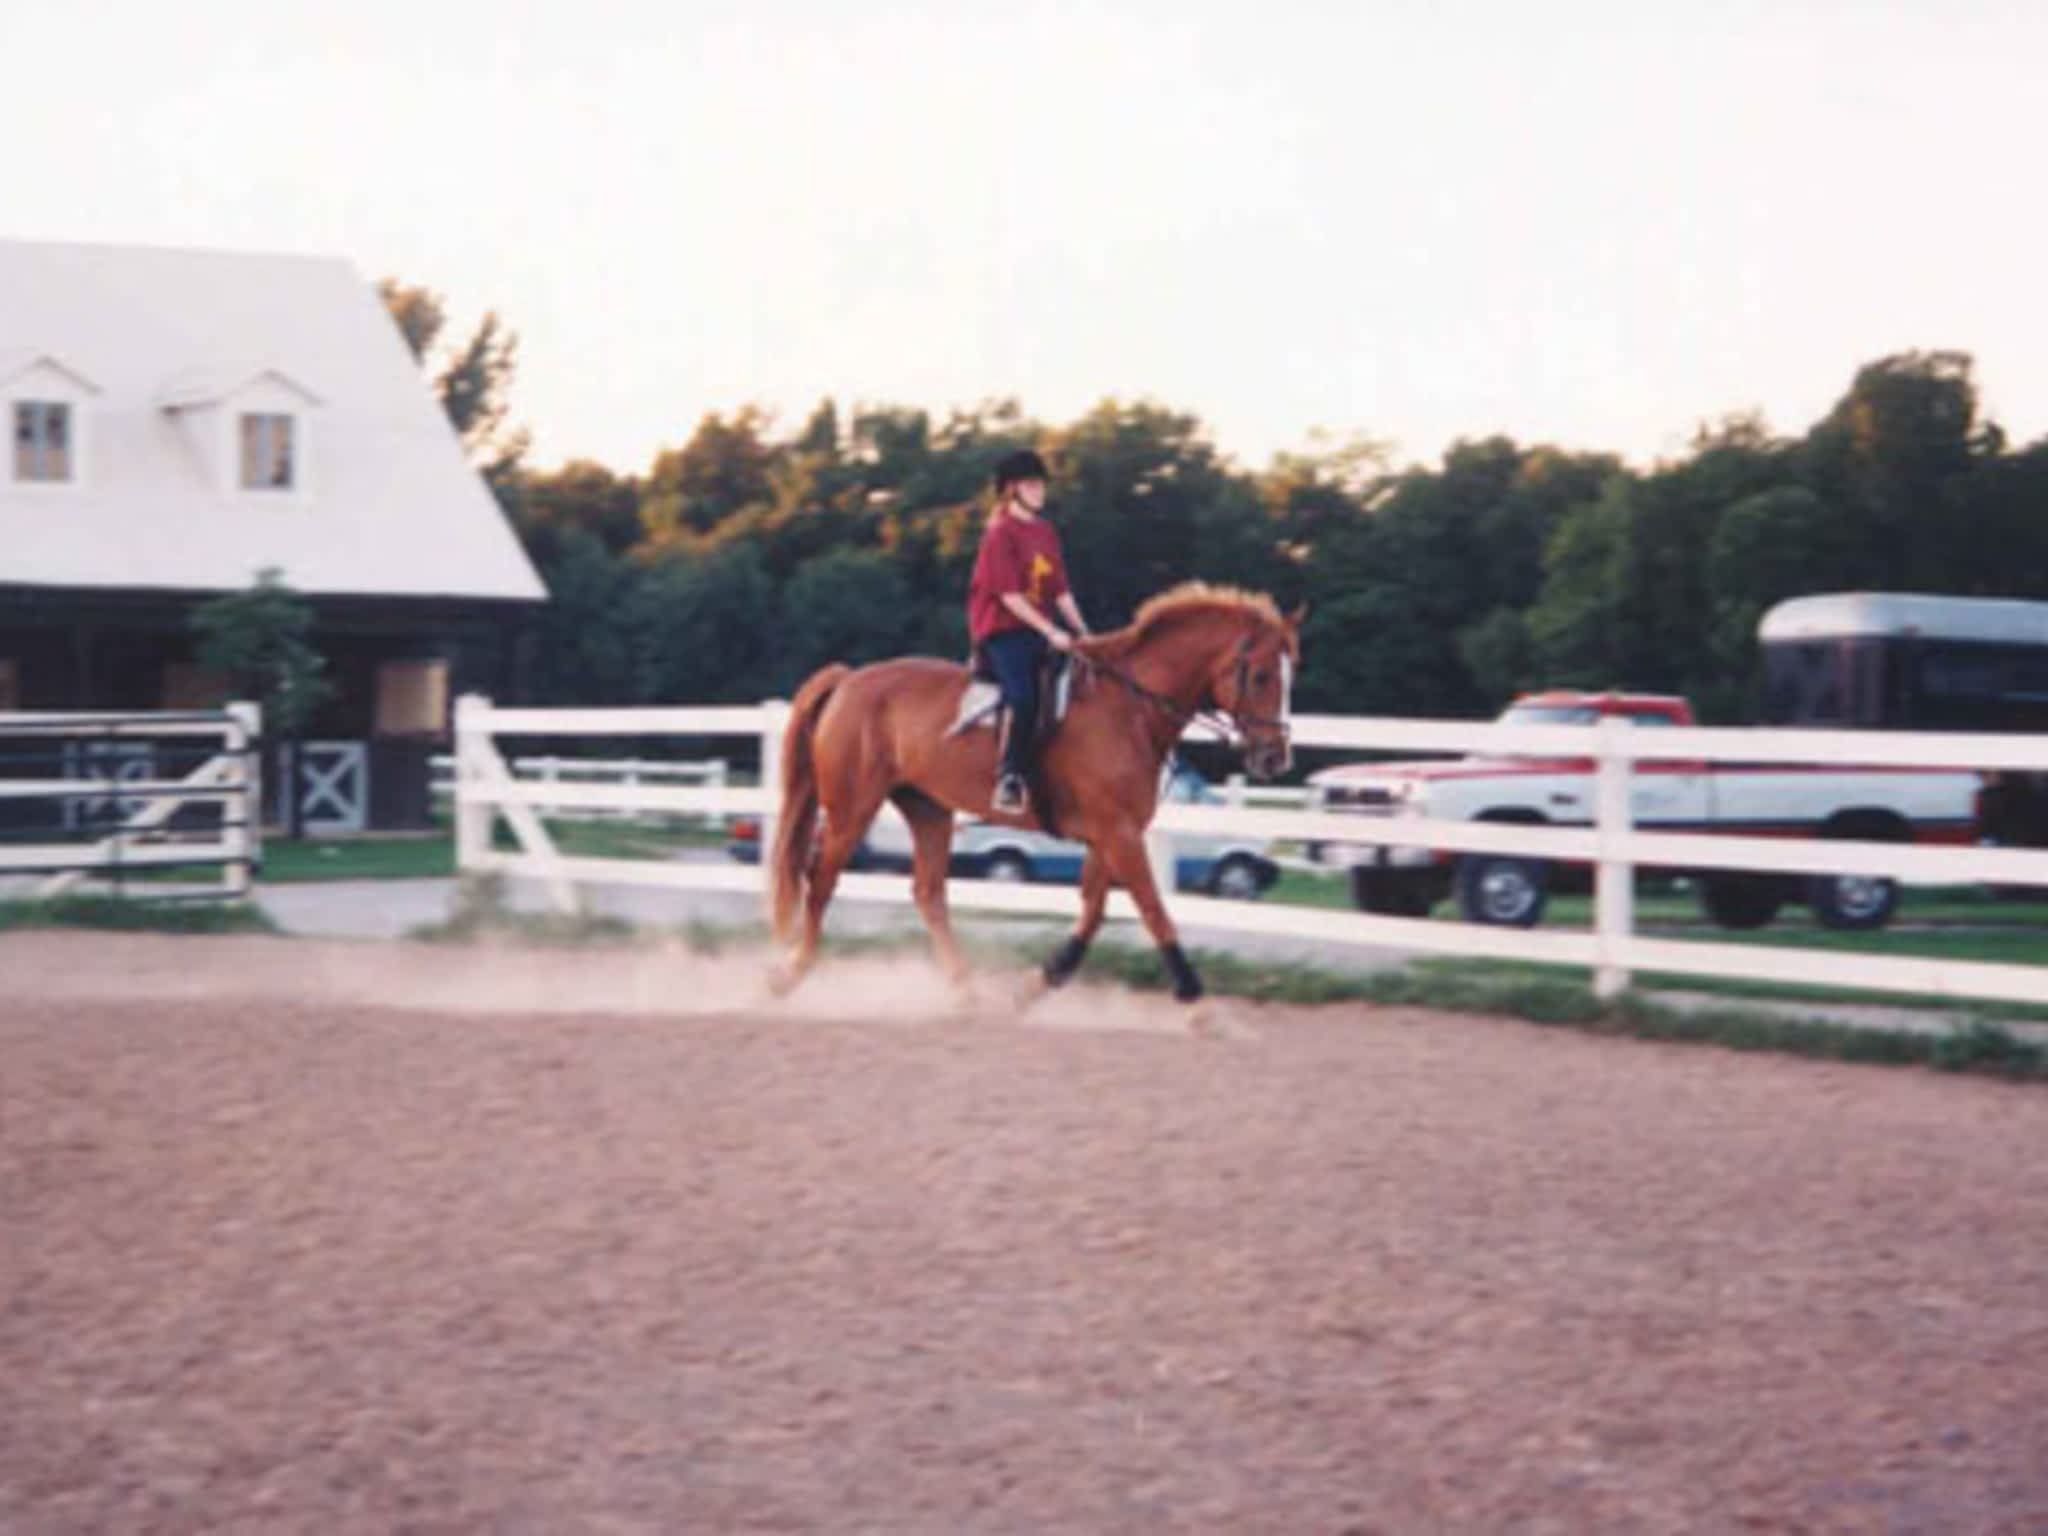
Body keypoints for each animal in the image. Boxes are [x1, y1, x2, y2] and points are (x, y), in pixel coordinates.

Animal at [761, 585, 1302, 1011]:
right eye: (1260, 676)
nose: (1275, 757)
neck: (1129, 708)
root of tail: (848, 680)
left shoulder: (1109, 834)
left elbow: (1093, 914)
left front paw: (1037, 985)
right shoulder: (1120, 833)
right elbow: (1152, 909)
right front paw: (1197, 1003)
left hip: (928, 808)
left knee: (928, 894)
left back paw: (968, 992)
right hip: (852, 808)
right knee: (820, 879)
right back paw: (788, 975)